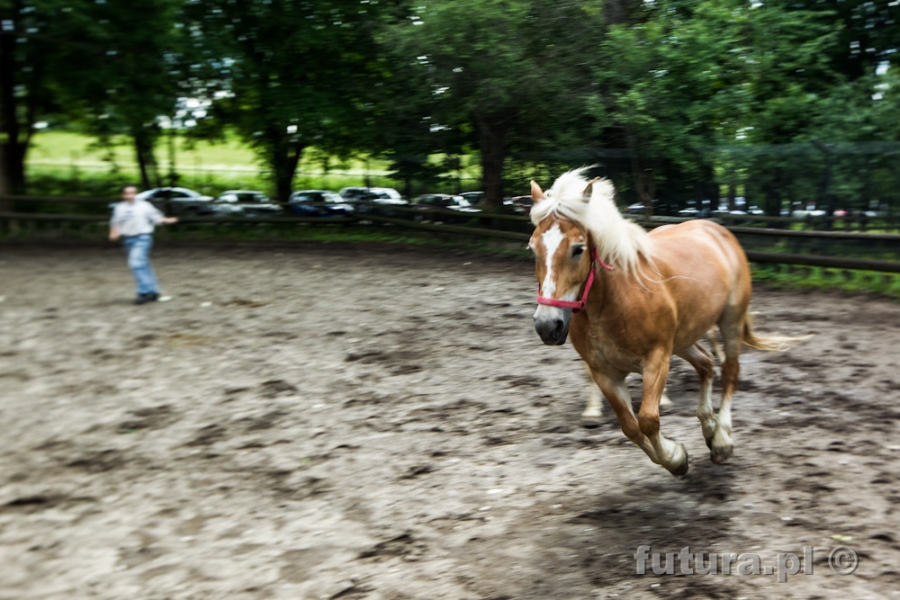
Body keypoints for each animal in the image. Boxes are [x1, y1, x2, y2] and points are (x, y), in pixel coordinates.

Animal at [528, 170, 796, 478]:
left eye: (578, 249)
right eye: (532, 248)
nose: (548, 325)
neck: (612, 302)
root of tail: (718, 231)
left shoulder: (656, 359)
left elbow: (647, 419)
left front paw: (676, 458)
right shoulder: (604, 373)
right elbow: (630, 427)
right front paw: (677, 457)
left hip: (729, 320)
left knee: (729, 372)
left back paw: (721, 439)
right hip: (682, 339)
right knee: (706, 364)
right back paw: (709, 426)